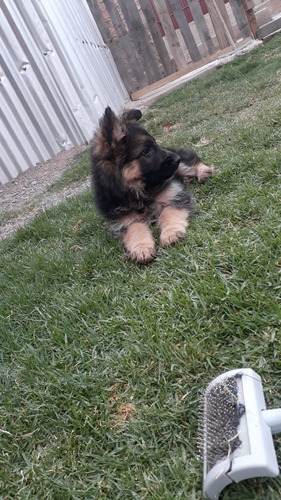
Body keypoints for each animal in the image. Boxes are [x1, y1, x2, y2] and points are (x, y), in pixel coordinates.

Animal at [90, 107, 212, 264]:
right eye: (146, 151)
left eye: (155, 144)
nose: (177, 159)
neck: (140, 192)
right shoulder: (125, 220)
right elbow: (135, 228)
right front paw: (141, 248)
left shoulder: (174, 196)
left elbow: (168, 212)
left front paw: (170, 233)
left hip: (182, 166)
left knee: (193, 161)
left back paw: (203, 172)